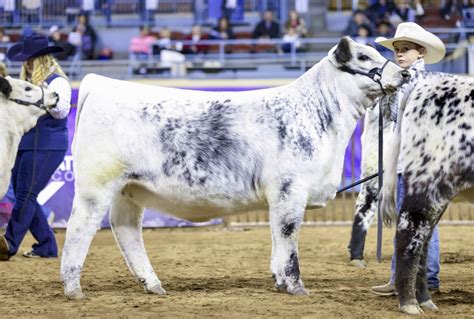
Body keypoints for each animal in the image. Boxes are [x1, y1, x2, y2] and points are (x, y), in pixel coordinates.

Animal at [59, 37, 408, 300]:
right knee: (79, 229)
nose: (403, 74)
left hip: (129, 189)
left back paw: (153, 284)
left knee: (126, 229)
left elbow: (276, 236)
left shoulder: (280, 196)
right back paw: (73, 288)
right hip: (96, 185)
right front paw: (295, 285)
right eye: (363, 56)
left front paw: (279, 281)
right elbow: (288, 236)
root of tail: (100, 84)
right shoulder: (290, 189)